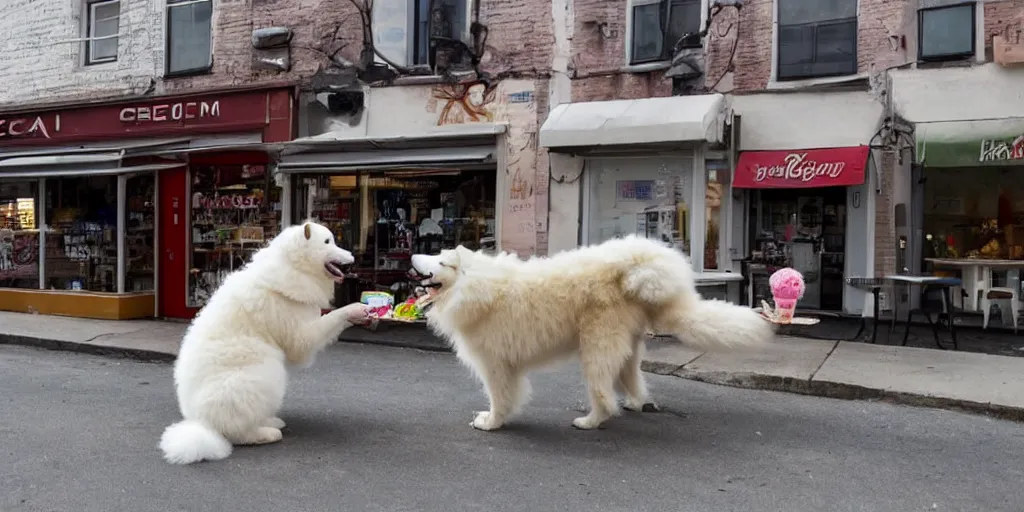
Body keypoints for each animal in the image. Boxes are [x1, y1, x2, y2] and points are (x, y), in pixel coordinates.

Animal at [157, 220, 370, 464]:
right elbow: (334, 317)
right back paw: (266, 433)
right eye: (327, 242)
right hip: (266, 371)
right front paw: (355, 309)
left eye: (333, 240)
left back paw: (271, 421)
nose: (352, 256)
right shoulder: (302, 337)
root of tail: (204, 425)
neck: (294, 268)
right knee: (238, 432)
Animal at [411, 235, 770, 432]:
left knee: (602, 394)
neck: (473, 284)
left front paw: (492, 422)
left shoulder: (496, 363)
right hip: (626, 348)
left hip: (597, 348)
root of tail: (632, 276)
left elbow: (500, 396)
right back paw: (637, 403)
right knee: (630, 378)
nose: (413, 255)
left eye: (440, 260)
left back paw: (591, 421)